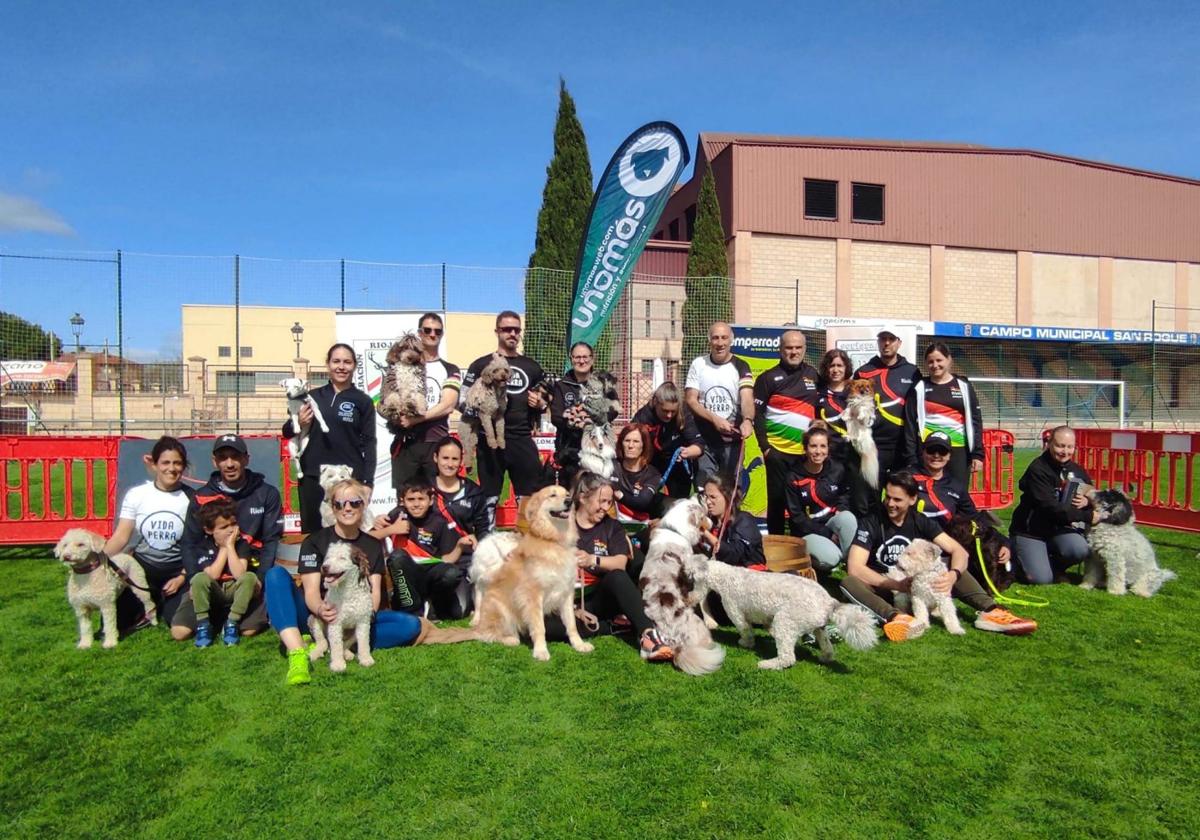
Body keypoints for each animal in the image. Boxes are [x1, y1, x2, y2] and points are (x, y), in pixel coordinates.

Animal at [304, 542, 374, 672]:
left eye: (342, 558)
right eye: (328, 557)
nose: (324, 567)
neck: (347, 592)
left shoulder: (363, 622)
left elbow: (363, 643)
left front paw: (366, 659)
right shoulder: (334, 621)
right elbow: (336, 644)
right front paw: (337, 664)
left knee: (344, 644)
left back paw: (347, 654)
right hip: (313, 618)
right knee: (323, 642)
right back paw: (315, 653)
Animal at [638, 499, 720, 676]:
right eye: (704, 515)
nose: (712, 523)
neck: (674, 530)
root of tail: (675, 644)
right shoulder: (689, 564)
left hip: (647, 645)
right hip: (698, 625)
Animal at [691, 556, 878, 667]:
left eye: (691, 580)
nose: (689, 598)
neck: (727, 577)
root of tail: (828, 602)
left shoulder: (735, 612)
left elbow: (745, 630)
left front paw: (745, 643)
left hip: (785, 621)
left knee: (788, 658)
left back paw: (768, 664)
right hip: (819, 628)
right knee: (827, 647)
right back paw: (825, 657)